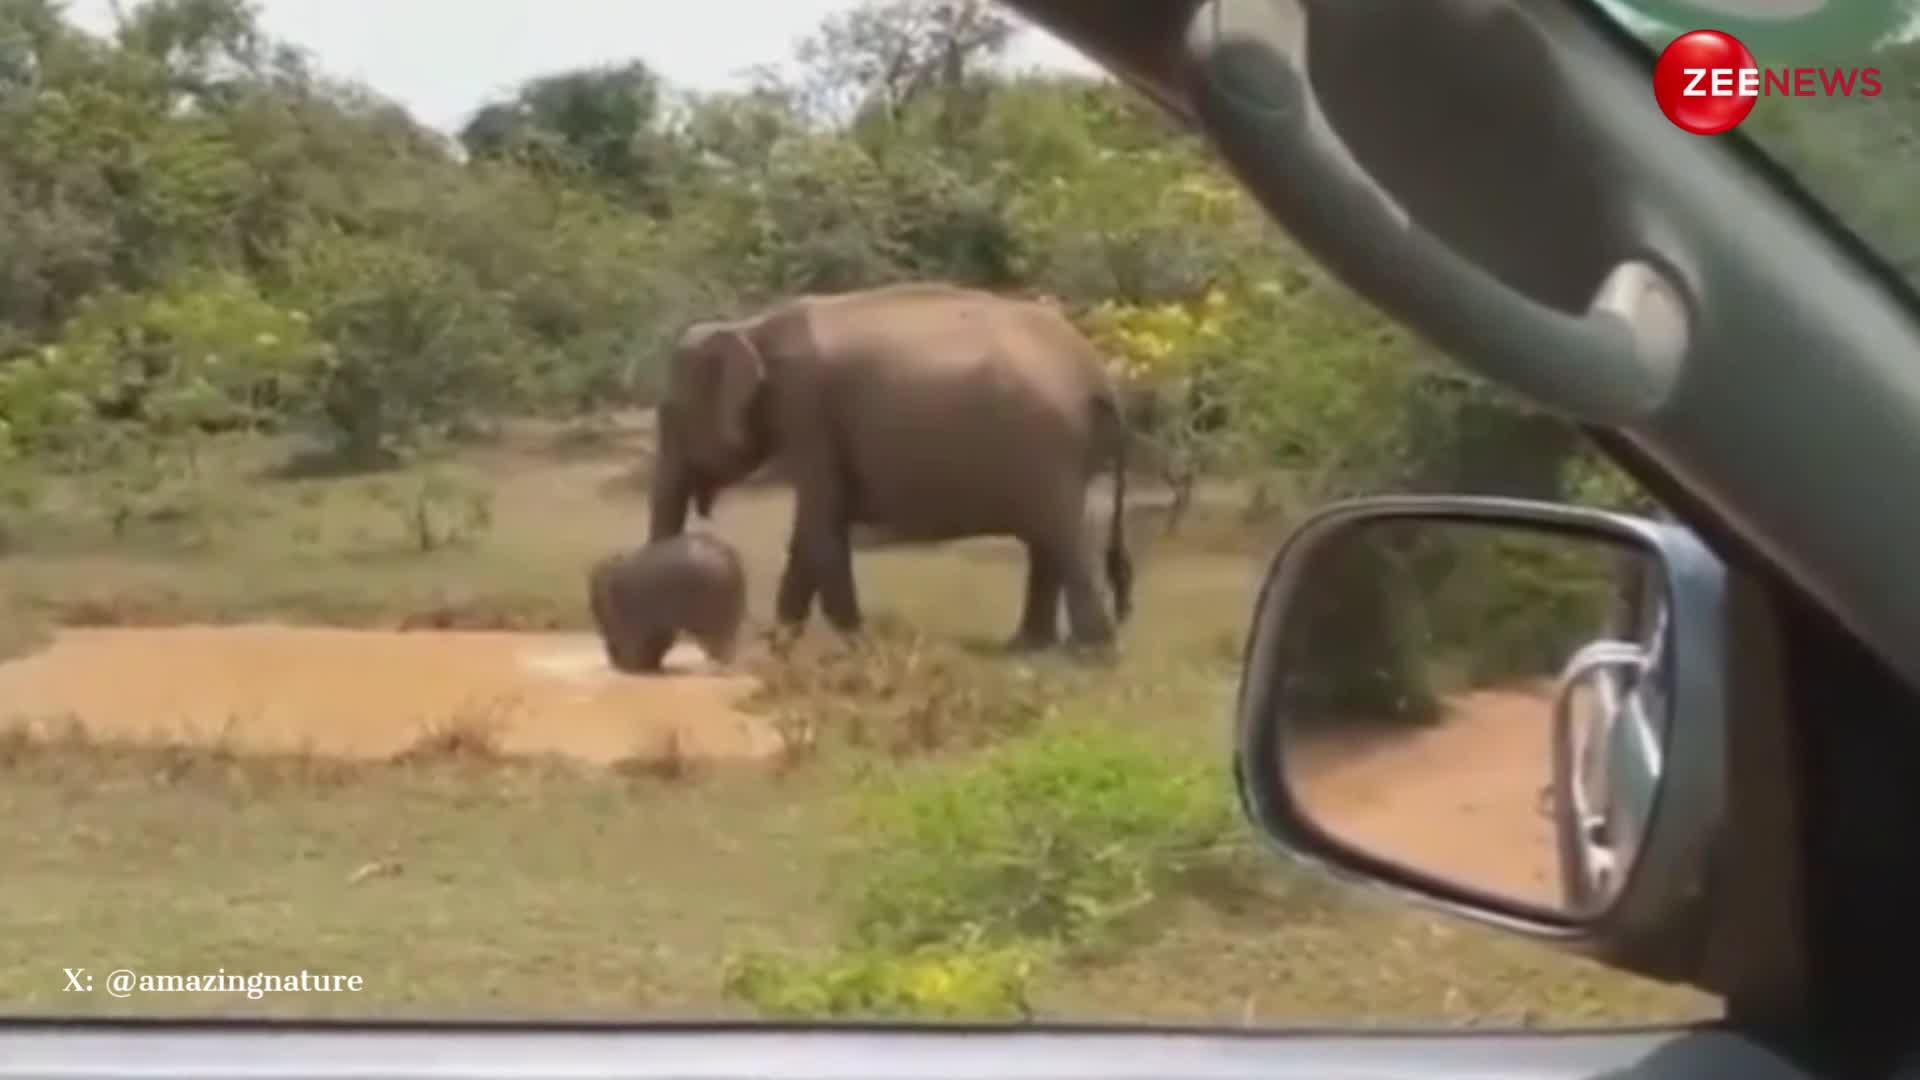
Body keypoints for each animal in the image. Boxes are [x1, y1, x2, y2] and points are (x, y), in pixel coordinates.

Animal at [645, 282, 1128, 645]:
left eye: (670, 413)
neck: (752, 326)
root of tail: (1097, 373)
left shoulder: (809, 412)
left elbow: (820, 527)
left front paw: (852, 642)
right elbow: (811, 533)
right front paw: (784, 641)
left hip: (1049, 451)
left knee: (1064, 535)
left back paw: (1091, 652)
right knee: (1048, 542)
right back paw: (1029, 647)